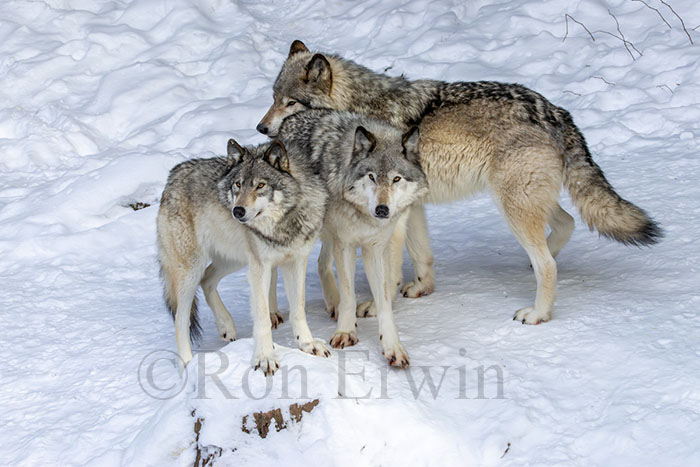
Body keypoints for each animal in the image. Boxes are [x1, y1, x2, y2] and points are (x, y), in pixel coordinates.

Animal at [157, 139, 330, 375]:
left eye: (260, 186)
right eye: (238, 185)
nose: (237, 211)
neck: (284, 223)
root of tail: (172, 175)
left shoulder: (296, 262)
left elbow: (299, 309)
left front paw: (307, 344)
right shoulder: (260, 268)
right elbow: (263, 317)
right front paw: (265, 358)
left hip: (233, 260)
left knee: (207, 280)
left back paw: (226, 325)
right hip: (192, 269)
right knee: (180, 319)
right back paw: (187, 364)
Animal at [258, 40, 662, 325]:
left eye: (290, 103)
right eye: (273, 98)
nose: (261, 128)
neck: (359, 109)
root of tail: (555, 111)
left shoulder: (393, 214)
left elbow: (389, 271)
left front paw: (375, 305)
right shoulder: (411, 207)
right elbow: (422, 255)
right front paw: (422, 288)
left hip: (512, 205)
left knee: (549, 263)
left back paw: (537, 314)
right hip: (528, 200)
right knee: (567, 224)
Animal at [276, 109, 429, 367]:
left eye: (396, 179)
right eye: (372, 177)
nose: (382, 210)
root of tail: (292, 117)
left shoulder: (374, 248)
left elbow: (384, 300)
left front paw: (392, 347)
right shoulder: (345, 245)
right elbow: (349, 294)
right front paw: (346, 332)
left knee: (321, 263)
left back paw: (332, 303)